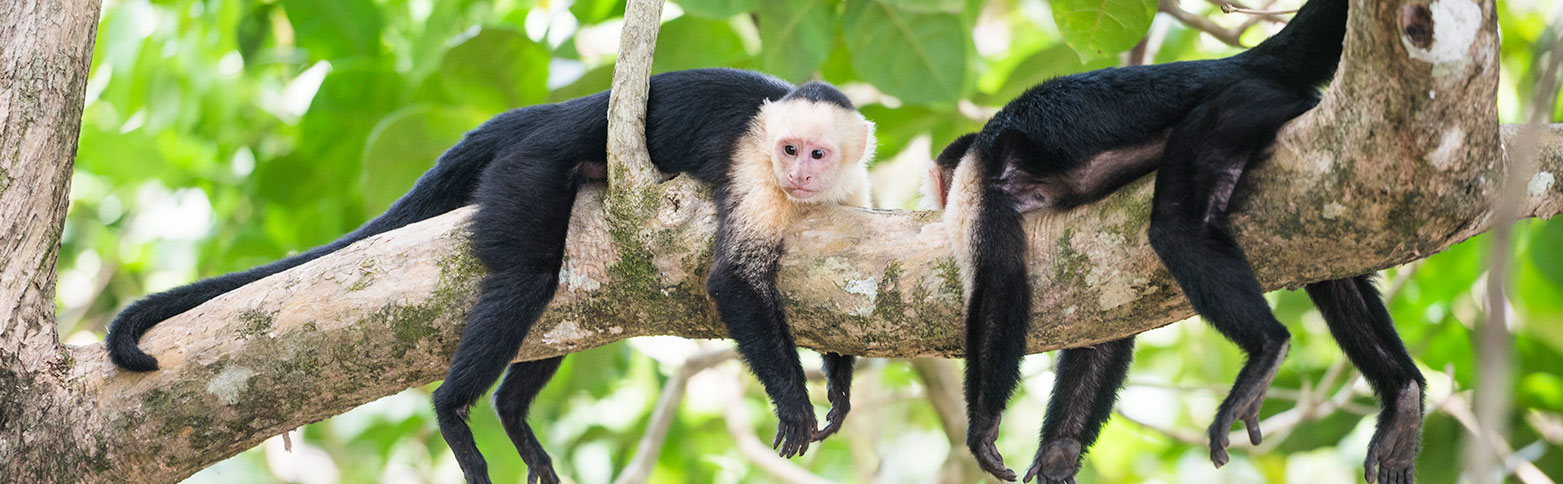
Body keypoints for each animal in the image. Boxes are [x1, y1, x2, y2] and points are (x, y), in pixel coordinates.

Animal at [103, 67, 875, 483]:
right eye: (787, 148)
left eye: (818, 153)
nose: (799, 173)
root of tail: (554, 113)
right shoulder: (753, 172)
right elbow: (733, 283)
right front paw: (794, 403)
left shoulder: (850, 194)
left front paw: (838, 385)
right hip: (525, 171)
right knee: (529, 279)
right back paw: (454, 412)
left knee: (569, 313)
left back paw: (510, 413)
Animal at [925, 0, 1431, 483]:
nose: (934, 198)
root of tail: (1234, 64)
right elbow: (1104, 333)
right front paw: (1060, 451)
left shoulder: (975, 178)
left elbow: (1000, 282)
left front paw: (983, 426)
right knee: (1327, 261)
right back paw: (1402, 399)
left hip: (1237, 106)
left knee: (1175, 225)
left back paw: (1267, 349)